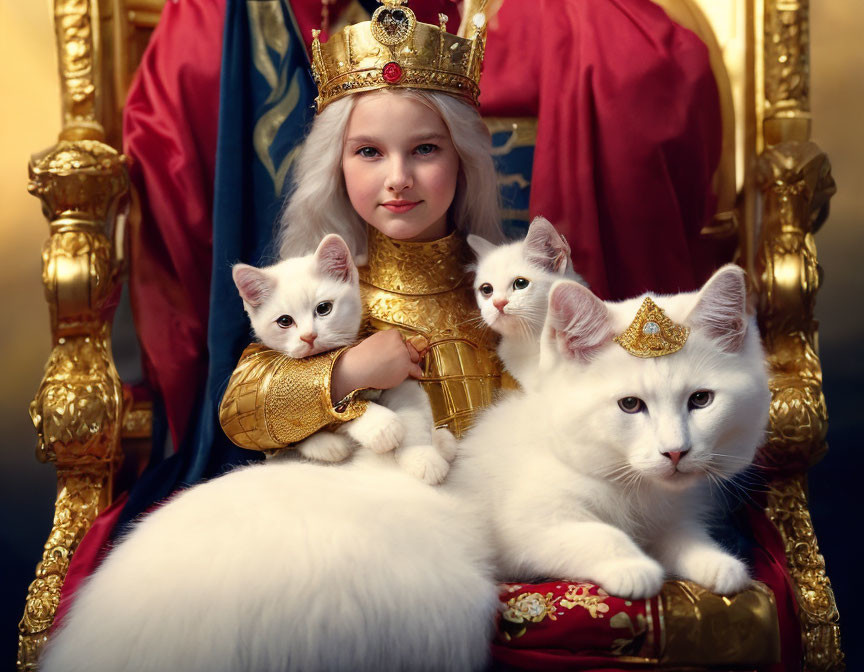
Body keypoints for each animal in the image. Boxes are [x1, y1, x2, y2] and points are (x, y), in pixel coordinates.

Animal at [230, 234, 460, 486]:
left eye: (324, 308)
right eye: (284, 321)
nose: (308, 336)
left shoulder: (403, 378)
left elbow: (414, 415)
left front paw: (422, 456)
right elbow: (328, 409)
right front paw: (380, 426)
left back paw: (442, 441)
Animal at [446, 264, 768, 600]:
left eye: (701, 399)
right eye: (630, 404)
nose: (676, 451)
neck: (633, 486)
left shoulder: (670, 518)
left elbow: (686, 537)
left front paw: (717, 561)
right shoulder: (526, 523)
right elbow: (601, 534)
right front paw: (633, 567)